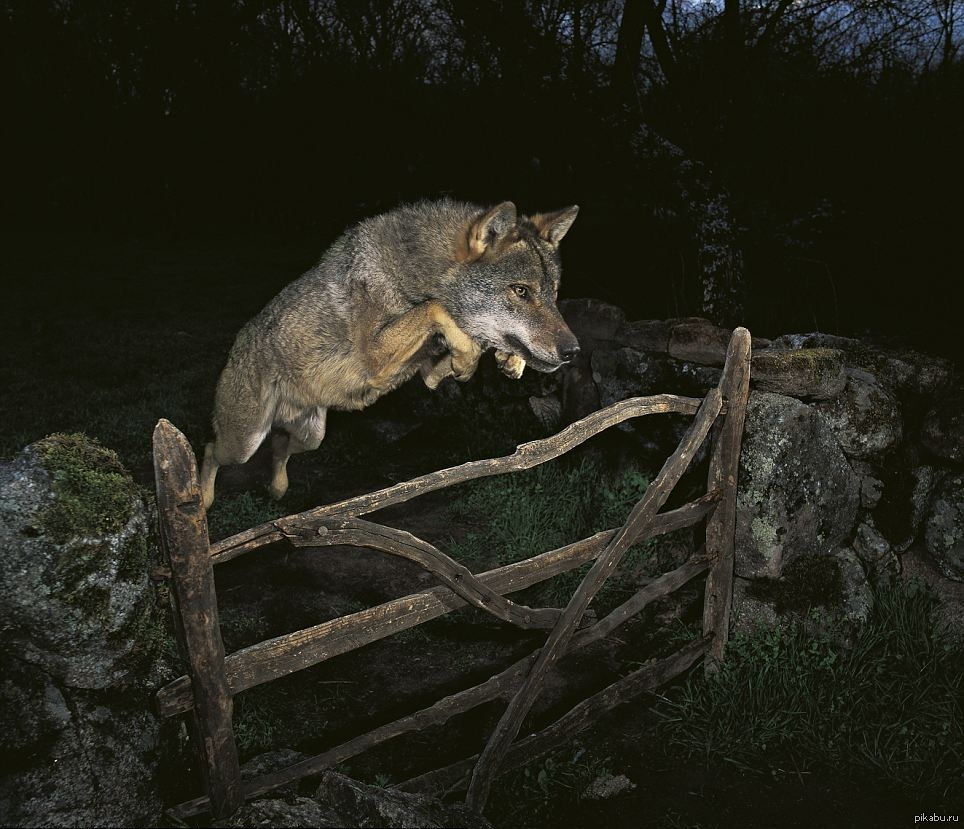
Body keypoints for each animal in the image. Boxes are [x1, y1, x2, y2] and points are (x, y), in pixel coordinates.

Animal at [200, 201, 580, 512]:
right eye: (521, 291)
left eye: (553, 294)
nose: (573, 351)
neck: (413, 274)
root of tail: (238, 344)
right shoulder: (376, 356)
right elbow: (436, 307)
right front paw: (470, 357)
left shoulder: (427, 373)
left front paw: (507, 360)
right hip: (243, 444)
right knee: (210, 449)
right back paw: (201, 500)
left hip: (311, 437)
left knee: (278, 447)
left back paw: (277, 489)